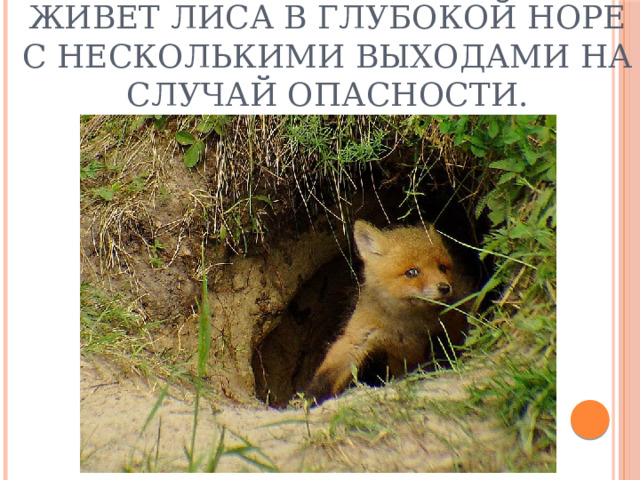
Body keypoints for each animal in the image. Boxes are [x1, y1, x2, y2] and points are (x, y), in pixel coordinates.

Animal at [304, 220, 473, 404]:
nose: (444, 288)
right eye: (411, 272)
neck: (406, 323)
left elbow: (450, 347)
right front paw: (311, 398)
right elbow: (329, 374)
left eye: (442, 268)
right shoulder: (359, 336)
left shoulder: (449, 323)